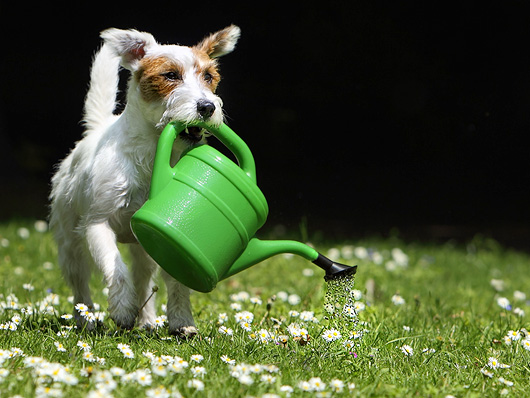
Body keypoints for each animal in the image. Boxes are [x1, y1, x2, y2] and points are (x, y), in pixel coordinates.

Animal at [49, 24, 239, 336]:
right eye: (170, 75)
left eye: (209, 77)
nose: (207, 107)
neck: (151, 155)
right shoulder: (97, 225)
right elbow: (115, 267)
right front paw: (122, 309)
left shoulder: (169, 238)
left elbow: (175, 282)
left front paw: (181, 321)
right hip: (70, 244)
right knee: (80, 283)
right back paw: (85, 320)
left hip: (143, 248)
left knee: (144, 279)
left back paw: (147, 320)